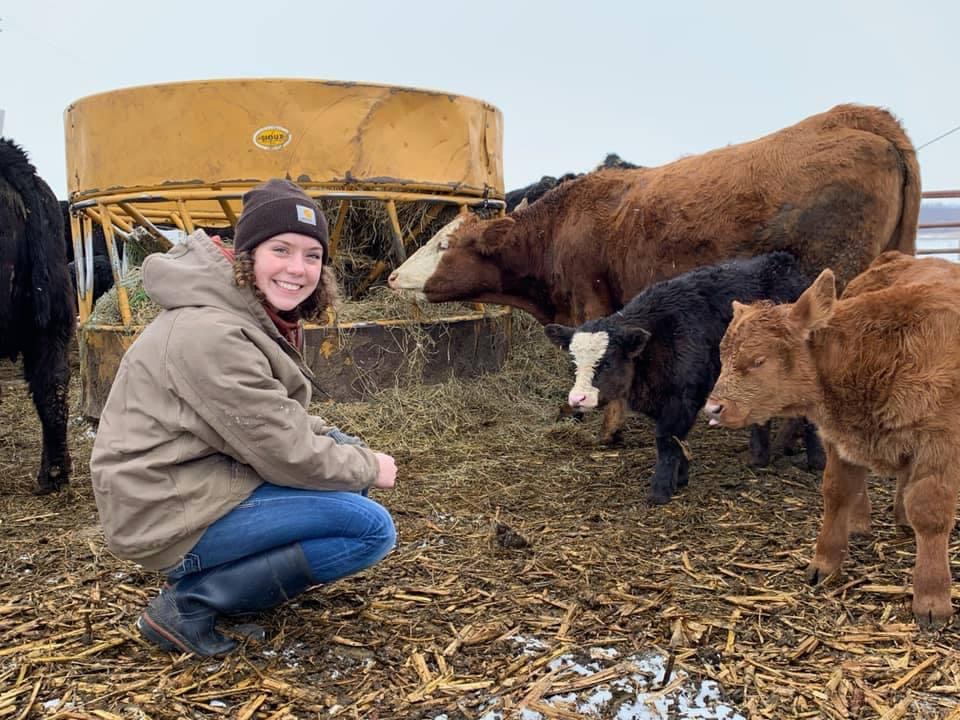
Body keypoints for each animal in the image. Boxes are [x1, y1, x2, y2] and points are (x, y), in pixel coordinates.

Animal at [548, 253, 816, 506]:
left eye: (607, 363)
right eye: (573, 362)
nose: (577, 398)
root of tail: (781, 261)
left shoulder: (682, 400)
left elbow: (668, 441)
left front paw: (660, 490)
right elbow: (679, 440)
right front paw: (681, 478)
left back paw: (815, 463)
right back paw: (759, 458)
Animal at [700, 255, 960, 632]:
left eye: (758, 360)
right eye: (723, 358)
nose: (713, 408)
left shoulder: (939, 445)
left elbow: (930, 512)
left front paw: (931, 597)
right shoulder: (837, 439)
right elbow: (837, 492)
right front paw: (824, 563)